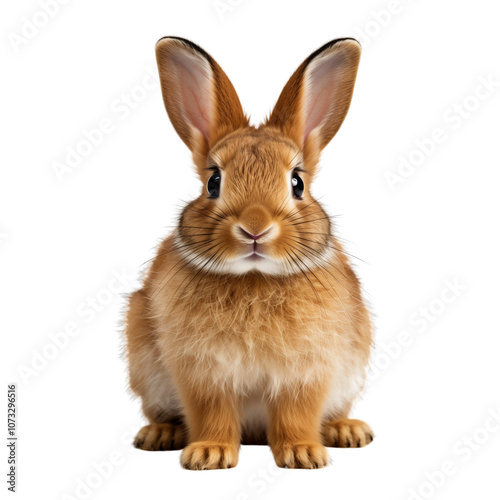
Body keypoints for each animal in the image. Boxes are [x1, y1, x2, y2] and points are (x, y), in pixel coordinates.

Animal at [125, 36, 374, 468]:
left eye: (297, 183)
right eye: (213, 181)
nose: (254, 228)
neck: (254, 277)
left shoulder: (306, 372)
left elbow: (296, 414)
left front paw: (303, 454)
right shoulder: (203, 373)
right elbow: (213, 413)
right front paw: (209, 454)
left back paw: (347, 431)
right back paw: (160, 434)